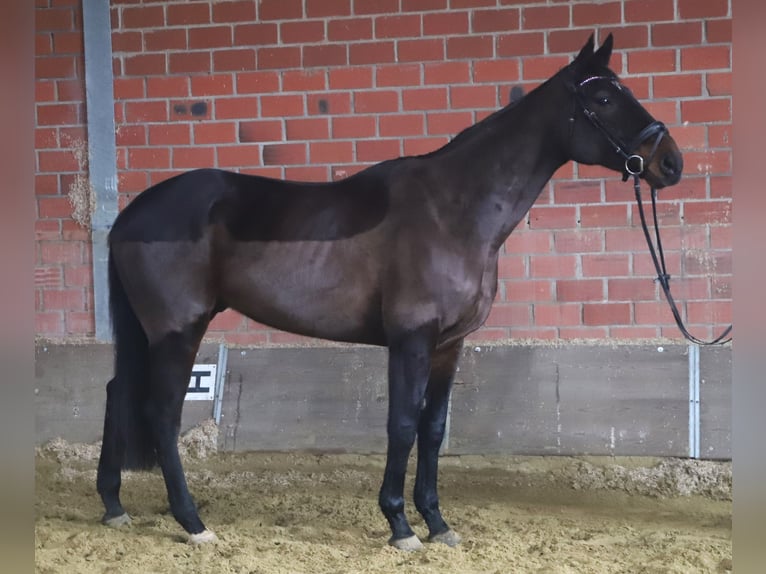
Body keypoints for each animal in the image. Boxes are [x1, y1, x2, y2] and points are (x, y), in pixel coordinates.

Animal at [96, 33, 683, 550]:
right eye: (603, 98)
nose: (670, 162)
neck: (453, 210)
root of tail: (130, 215)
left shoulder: (449, 346)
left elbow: (434, 429)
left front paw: (437, 523)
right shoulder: (411, 340)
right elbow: (402, 425)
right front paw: (400, 526)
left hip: (151, 333)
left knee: (117, 392)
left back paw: (113, 506)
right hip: (179, 330)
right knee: (161, 412)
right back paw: (193, 523)